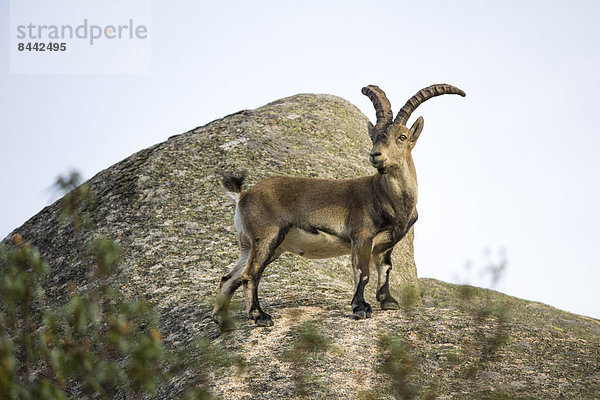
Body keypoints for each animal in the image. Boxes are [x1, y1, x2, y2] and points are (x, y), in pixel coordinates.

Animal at [213, 83, 466, 330]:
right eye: (374, 136)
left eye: (402, 136)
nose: (376, 155)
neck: (387, 197)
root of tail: (242, 195)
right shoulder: (361, 235)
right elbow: (362, 273)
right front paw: (360, 308)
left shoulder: (386, 244)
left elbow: (385, 270)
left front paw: (388, 302)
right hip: (267, 237)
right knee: (249, 275)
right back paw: (260, 316)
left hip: (253, 245)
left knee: (229, 278)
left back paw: (221, 319)